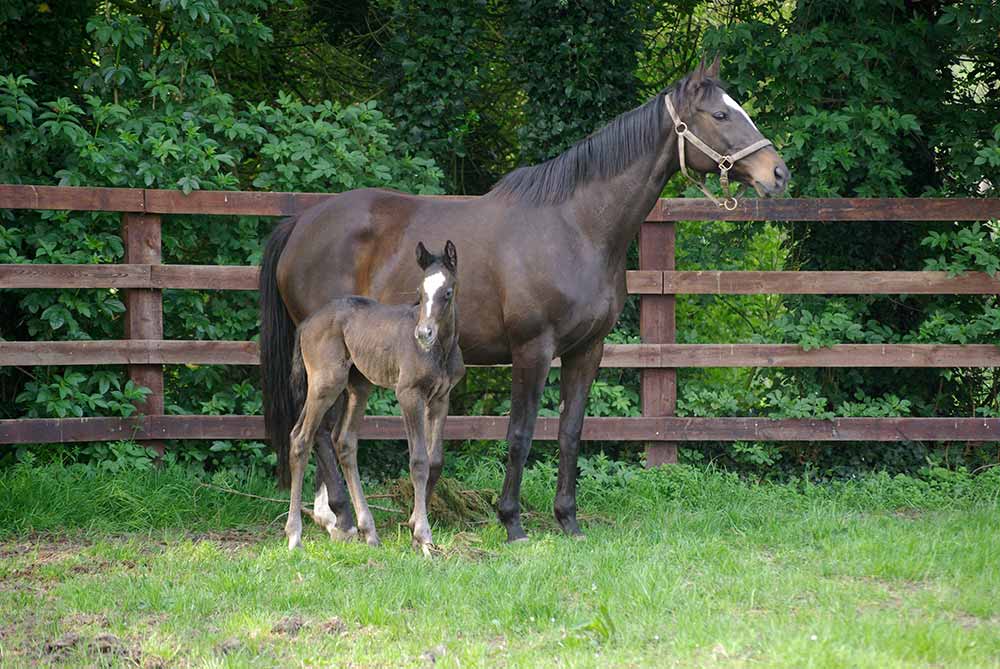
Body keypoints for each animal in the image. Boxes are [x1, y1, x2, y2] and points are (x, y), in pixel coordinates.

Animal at [286, 241, 464, 552]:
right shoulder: (409, 395)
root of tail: (306, 324)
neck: (440, 352)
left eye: (447, 292)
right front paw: (423, 537)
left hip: (358, 387)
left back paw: (369, 531)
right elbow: (418, 461)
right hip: (325, 384)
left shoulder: (441, 399)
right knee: (301, 439)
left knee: (344, 442)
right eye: (420, 292)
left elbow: (435, 460)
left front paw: (415, 525)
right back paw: (295, 536)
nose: (424, 333)